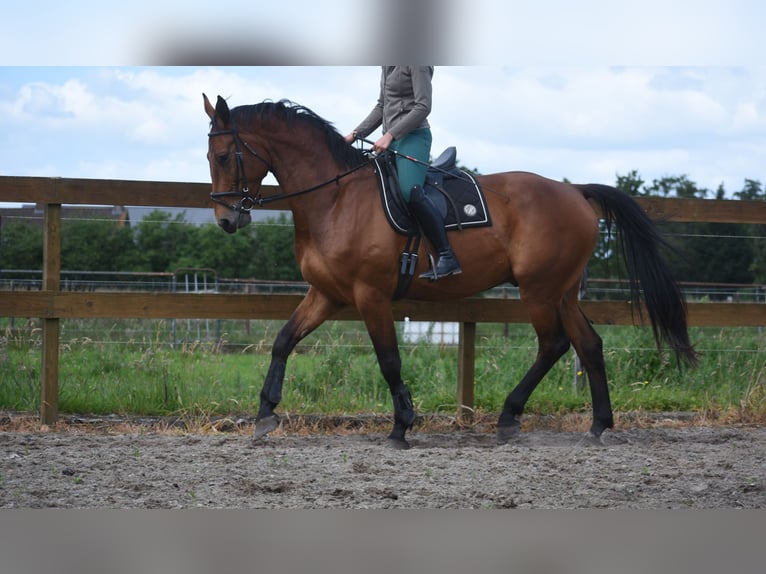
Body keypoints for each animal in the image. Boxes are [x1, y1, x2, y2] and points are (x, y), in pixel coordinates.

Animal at [203, 94, 697, 449]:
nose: (227, 220)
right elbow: (284, 340)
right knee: (589, 344)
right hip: (561, 290)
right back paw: (598, 425)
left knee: (553, 343)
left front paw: (402, 426)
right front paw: (265, 414)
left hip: (538, 290)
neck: (336, 199)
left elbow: (388, 359)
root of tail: (574, 191)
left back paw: (509, 417)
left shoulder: (369, 296)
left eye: (225, 156)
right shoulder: (326, 294)